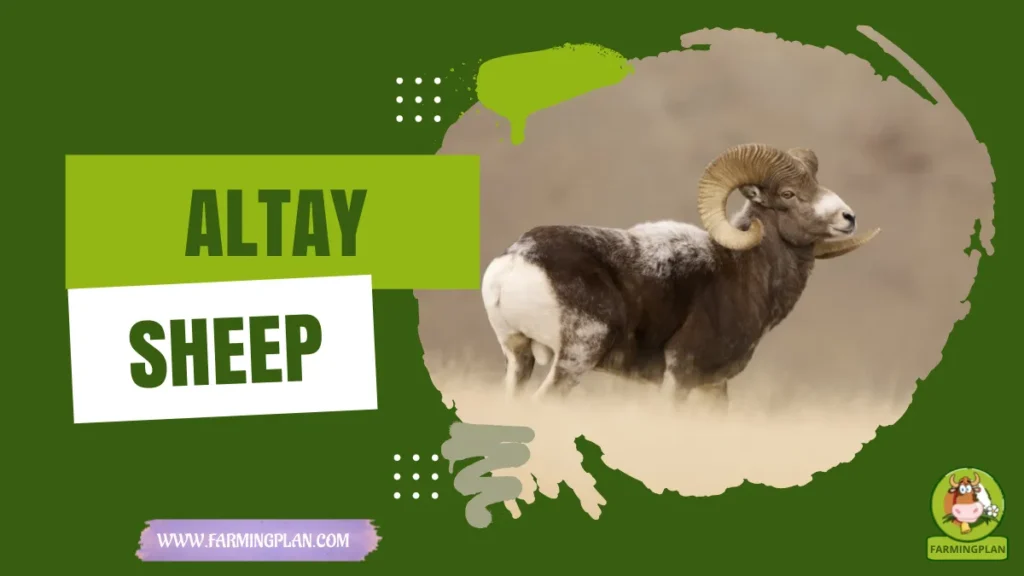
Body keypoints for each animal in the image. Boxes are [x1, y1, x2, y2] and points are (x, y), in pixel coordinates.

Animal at [480, 143, 880, 408]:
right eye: (788, 193)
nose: (848, 218)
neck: (739, 272)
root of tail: (514, 264)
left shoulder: (714, 387)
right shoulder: (682, 376)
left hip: (519, 360)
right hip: (575, 358)